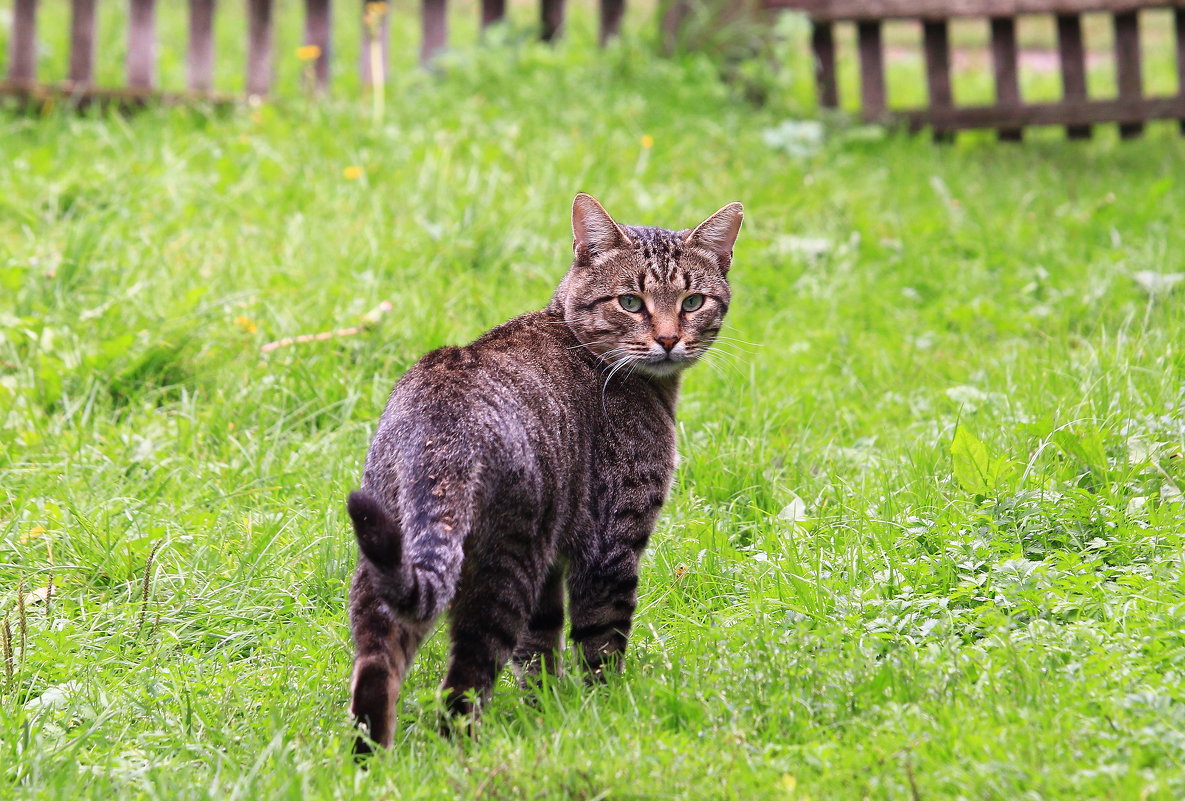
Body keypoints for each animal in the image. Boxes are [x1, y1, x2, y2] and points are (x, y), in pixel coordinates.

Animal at [346, 194, 744, 748]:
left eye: (692, 302)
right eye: (630, 302)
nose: (668, 339)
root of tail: (441, 430)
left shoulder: (554, 564)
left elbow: (539, 652)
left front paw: (548, 710)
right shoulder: (609, 543)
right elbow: (601, 643)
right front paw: (606, 709)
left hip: (384, 559)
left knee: (376, 668)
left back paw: (372, 761)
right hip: (505, 570)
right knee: (460, 691)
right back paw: (460, 755)